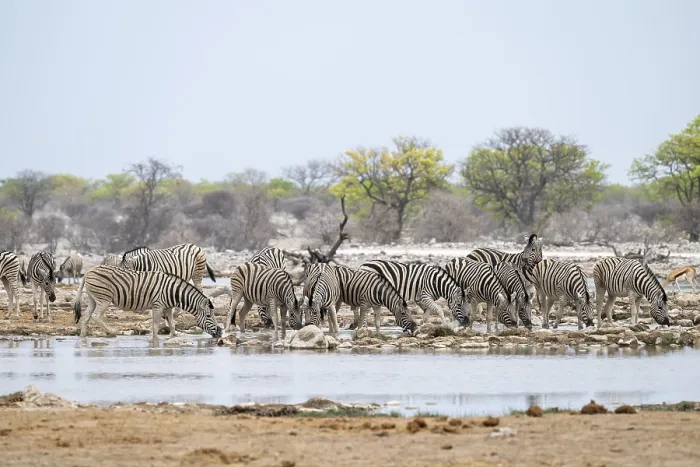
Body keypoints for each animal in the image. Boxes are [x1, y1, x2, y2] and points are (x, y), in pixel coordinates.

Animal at [73, 265, 222, 340]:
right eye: (209, 316)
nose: (220, 332)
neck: (173, 292)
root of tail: (88, 271)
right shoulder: (158, 306)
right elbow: (155, 327)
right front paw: (155, 342)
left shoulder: (168, 308)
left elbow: (172, 325)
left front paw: (173, 337)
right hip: (104, 298)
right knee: (96, 316)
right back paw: (113, 331)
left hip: (93, 299)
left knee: (86, 317)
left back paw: (83, 337)